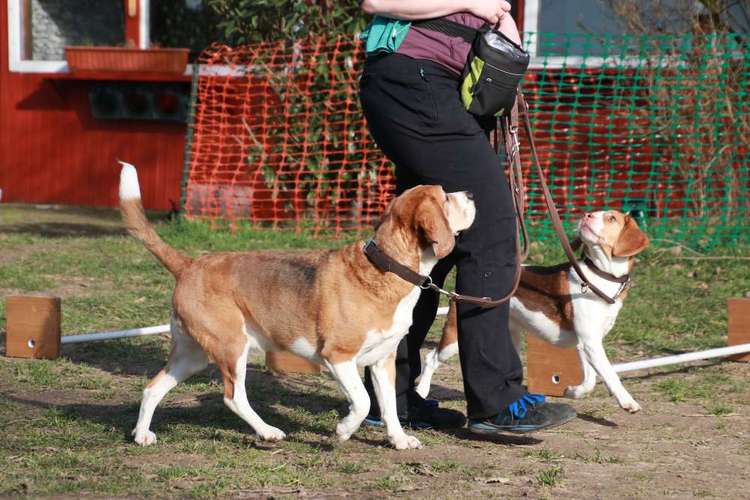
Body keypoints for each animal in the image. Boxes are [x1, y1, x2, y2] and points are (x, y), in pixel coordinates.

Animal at [119, 163, 476, 450]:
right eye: (445, 198)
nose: (472, 192)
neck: (387, 266)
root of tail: (189, 264)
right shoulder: (338, 357)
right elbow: (362, 402)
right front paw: (343, 431)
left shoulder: (382, 361)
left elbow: (389, 406)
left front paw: (399, 440)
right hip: (232, 346)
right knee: (233, 397)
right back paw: (267, 432)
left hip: (192, 355)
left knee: (152, 388)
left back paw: (141, 435)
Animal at [418, 209, 652, 412]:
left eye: (611, 218)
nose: (586, 215)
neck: (600, 276)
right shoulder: (590, 342)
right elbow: (610, 374)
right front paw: (627, 402)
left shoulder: (586, 343)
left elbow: (590, 380)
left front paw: (571, 392)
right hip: (454, 338)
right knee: (430, 358)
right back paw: (421, 391)